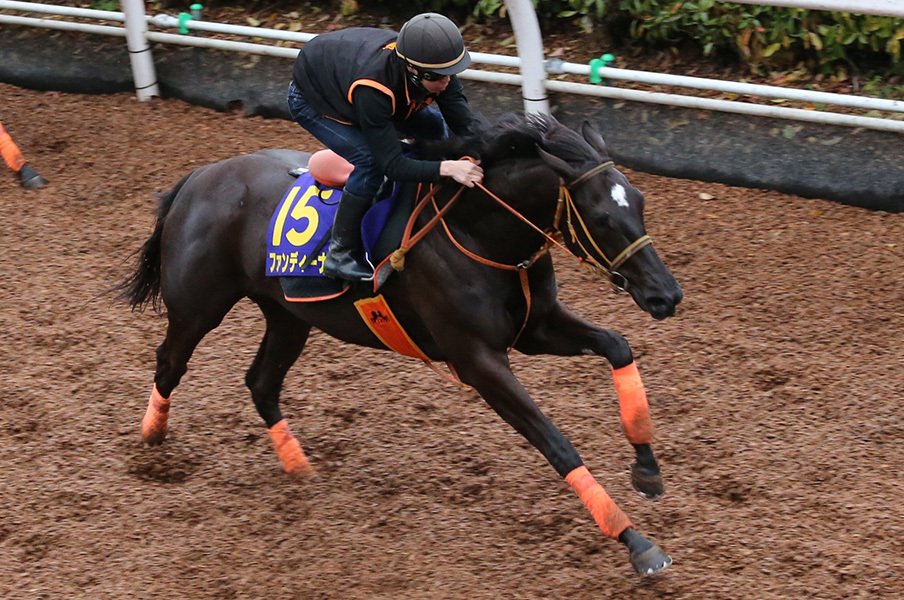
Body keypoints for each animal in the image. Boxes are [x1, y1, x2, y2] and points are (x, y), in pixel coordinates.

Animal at [120, 112, 684, 576]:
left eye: (640, 203)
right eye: (604, 217)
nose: (667, 294)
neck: (478, 232)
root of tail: (198, 177)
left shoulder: (537, 329)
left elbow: (618, 346)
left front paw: (647, 470)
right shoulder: (477, 359)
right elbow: (556, 443)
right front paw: (637, 543)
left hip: (288, 313)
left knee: (261, 382)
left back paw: (300, 468)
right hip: (199, 307)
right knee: (169, 363)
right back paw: (151, 442)